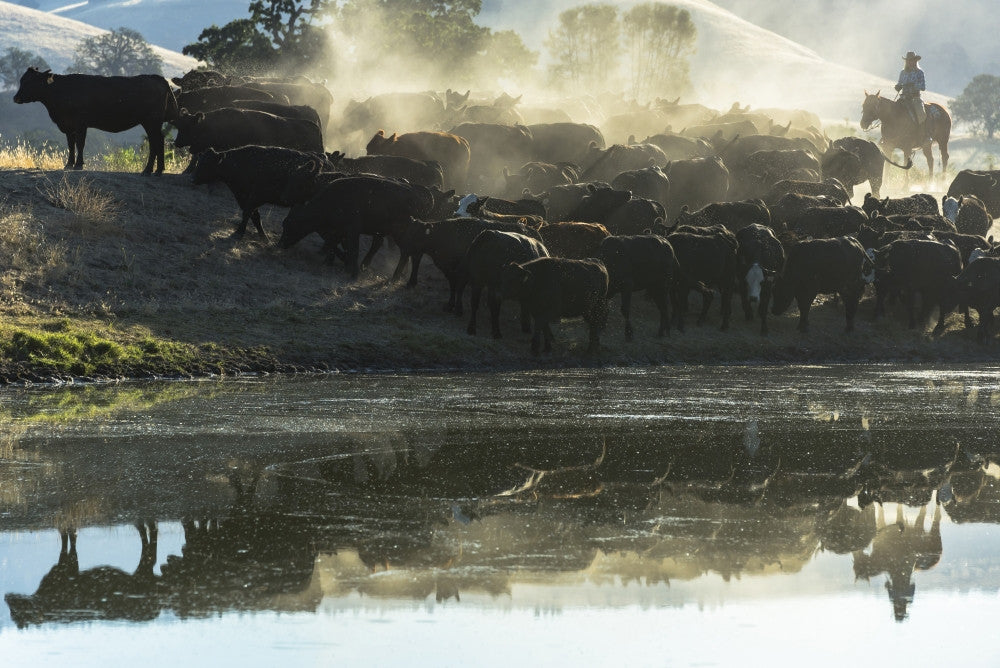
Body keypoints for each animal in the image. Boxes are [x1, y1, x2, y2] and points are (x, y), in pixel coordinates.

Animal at [13, 67, 178, 174]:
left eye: (29, 82)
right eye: (22, 80)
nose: (16, 98)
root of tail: (157, 78)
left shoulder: (80, 124)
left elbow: (80, 144)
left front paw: (78, 165)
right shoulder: (68, 126)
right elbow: (71, 145)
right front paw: (68, 164)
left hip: (151, 121)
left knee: (156, 141)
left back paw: (150, 170)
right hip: (152, 123)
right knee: (157, 141)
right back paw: (156, 170)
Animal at [192, 146, 333, 237]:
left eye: (207, 163)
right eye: (200, 161)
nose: (194, 179)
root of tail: (325, 161)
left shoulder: (256, 197)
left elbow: (248, 213)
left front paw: (240, 232)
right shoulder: (243, 197)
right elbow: (254, 216)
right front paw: (262, 235)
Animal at [277, 176, 451, 278]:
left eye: (290, 225)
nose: (280, 244)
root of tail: (419, 196)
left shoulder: (352, 230)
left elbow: (353, 249)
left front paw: (351, 270)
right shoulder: (337, 231)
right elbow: (333, 245)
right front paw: (334, 261)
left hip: (399, 232)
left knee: (404, 250)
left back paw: (394, 276)